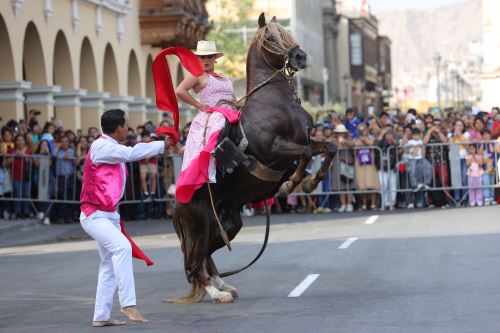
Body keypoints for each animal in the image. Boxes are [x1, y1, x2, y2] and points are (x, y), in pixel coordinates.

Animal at [169, 14, 336, 302]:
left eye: (287, 32)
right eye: (270, 37)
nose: (300, 57)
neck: (274, 102)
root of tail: (176, 201)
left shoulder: (307, 140)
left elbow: (330, 147)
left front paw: (311, 182)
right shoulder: (274, 149)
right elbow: (304, 155)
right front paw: (291, 184)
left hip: (227, 225)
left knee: (206, 257)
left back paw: (223, 285)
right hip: (198, 226)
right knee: (194, 264)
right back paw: (216, 293)